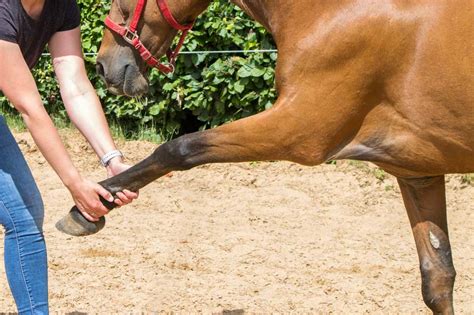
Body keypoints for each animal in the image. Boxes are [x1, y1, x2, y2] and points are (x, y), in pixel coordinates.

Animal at [56, 1, 474, 314]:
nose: (103, 65)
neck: (335, 10)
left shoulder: (300, 130)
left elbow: (179, 148)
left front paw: (89, 208)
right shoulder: (417, 171)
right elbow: (438, 278)